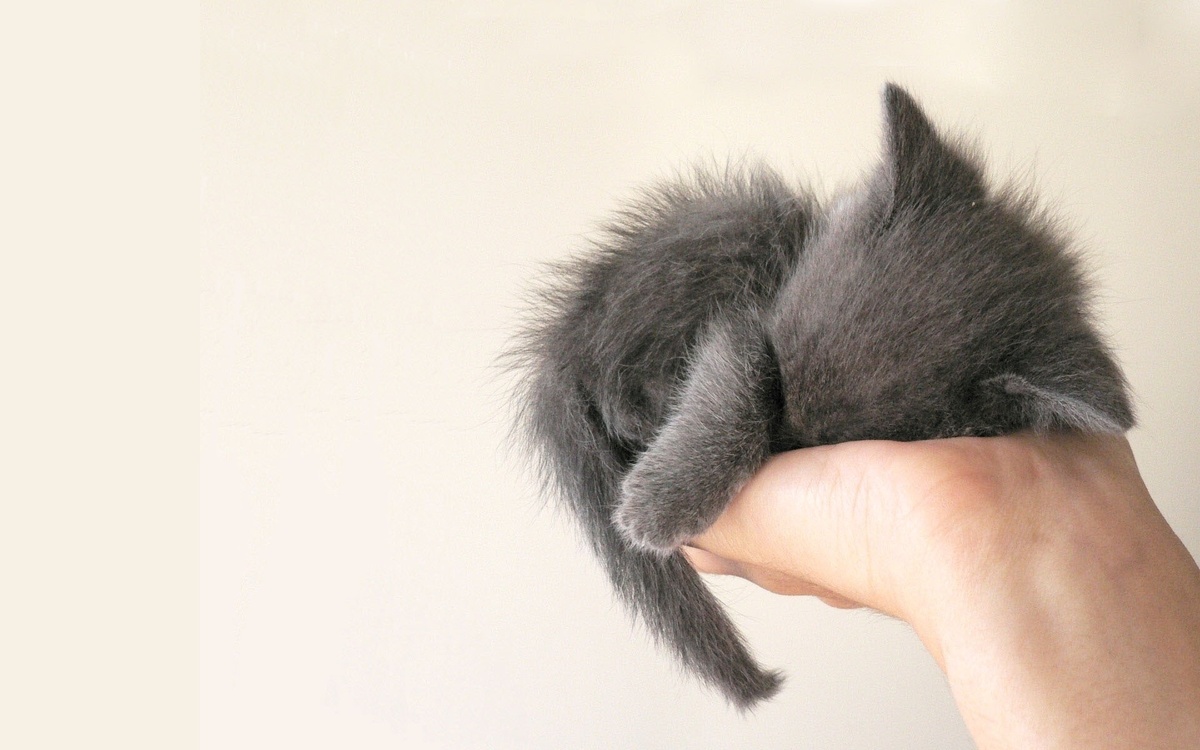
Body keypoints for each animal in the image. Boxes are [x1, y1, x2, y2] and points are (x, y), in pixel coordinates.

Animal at [508, 83, 1134, 710]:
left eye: (820, 441)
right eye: (781, 378)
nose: (781, 438)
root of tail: (563, 335)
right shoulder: (747, 321)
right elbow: (737, 374)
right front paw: (664, 502)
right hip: (744, 221)